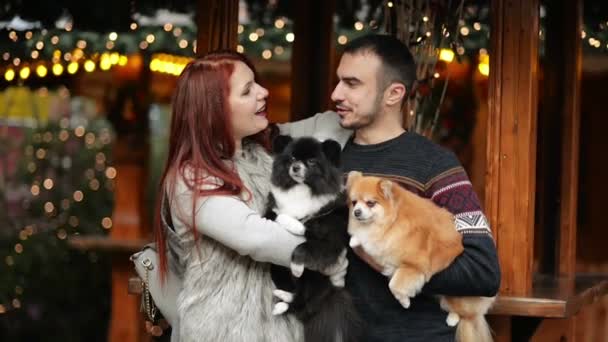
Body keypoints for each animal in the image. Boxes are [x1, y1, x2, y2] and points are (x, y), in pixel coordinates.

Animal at [264, 136, 360, 342]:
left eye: (311, 162)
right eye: (292, 158)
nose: (296, 167)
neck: (301, 189)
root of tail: (331, 291)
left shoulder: (330, 240)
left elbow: (303, 242)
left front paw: (297, 266)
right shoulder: (272, 209)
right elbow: (274, 215)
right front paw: (284, 219)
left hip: (314, 279)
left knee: (305, 305)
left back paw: (284, 304)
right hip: (277, 270)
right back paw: (283, 297)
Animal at [346, 171, 494, 342]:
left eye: (370, 203)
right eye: (354, 202)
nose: (356, 212)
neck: (392, 220)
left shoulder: (414, 266)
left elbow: (395, 284)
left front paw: (404, 301)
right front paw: (354, 240)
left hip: (458, 297)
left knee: (467, 314)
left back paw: (452, 318)